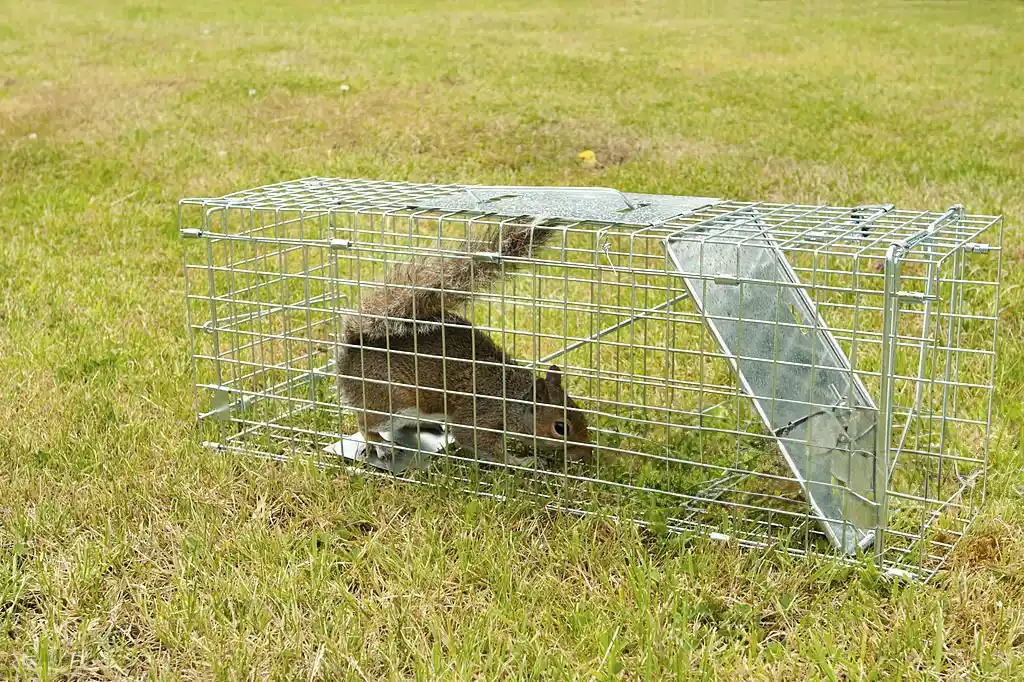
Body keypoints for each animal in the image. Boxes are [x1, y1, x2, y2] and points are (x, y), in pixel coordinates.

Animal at [335, 220, 593, 464]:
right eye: (560, 428)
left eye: (580, 412)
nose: (586, 453)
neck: (512, 398)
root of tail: (352, 349)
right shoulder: (480, 416)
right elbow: (477, 443)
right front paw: (524, 461)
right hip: (388, 400)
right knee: (366, 424)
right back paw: (381, 444)